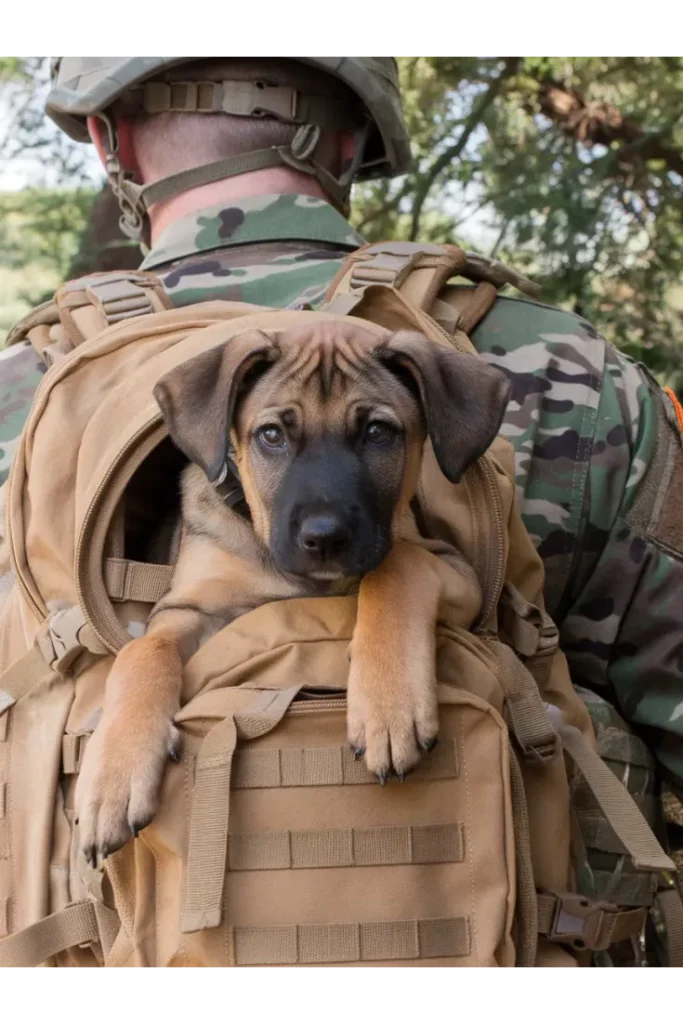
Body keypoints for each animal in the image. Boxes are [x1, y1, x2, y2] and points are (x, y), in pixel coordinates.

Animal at [77, 321, 509, 864]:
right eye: (272, 435)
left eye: (377, 432)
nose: (324, 538)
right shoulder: (190, 607)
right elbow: (141, 651)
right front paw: (114, 773)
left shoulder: (459, 571)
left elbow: (396, 565)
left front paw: (389, 703)